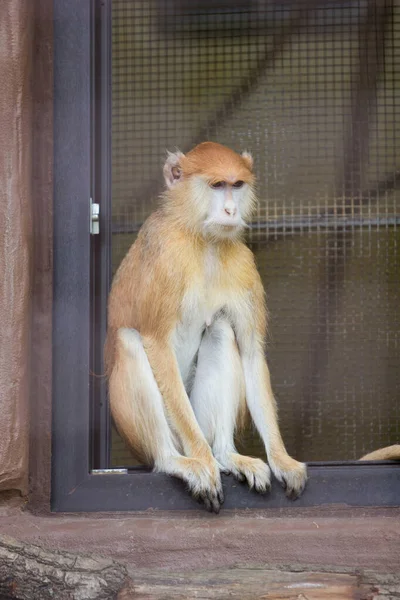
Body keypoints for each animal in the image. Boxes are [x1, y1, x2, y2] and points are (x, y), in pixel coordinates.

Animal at [104, 142, 308, 510]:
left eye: (236, 185)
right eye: (216, 186)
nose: (230, 210)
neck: (203, 239)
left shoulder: (243, 263)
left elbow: (252, 355)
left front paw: (282, 461)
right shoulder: (167, 256)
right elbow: (155, 342)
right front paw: (203, 462)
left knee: (222, 331)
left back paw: (225, 454)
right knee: (129, 341)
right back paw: (179, 460)